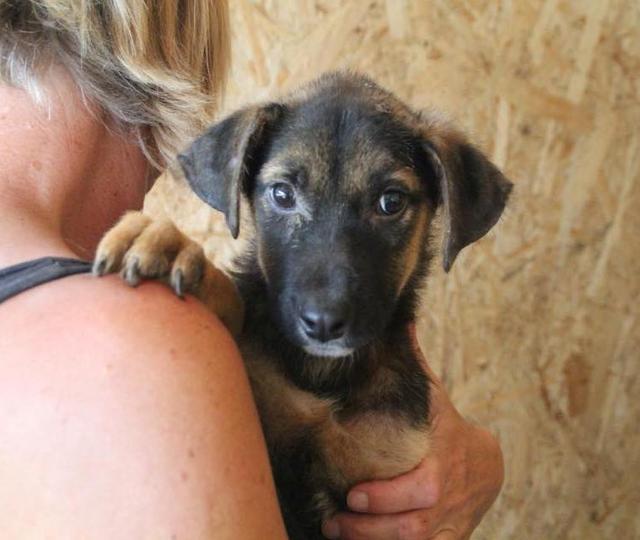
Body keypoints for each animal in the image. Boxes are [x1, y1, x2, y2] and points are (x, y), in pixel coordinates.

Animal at [95, 73, 512, 540]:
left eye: (391, 201)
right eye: (282, 194)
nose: (324, 323)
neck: (321, 371)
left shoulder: (388, 478)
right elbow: (241, 312)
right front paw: (175, 248)